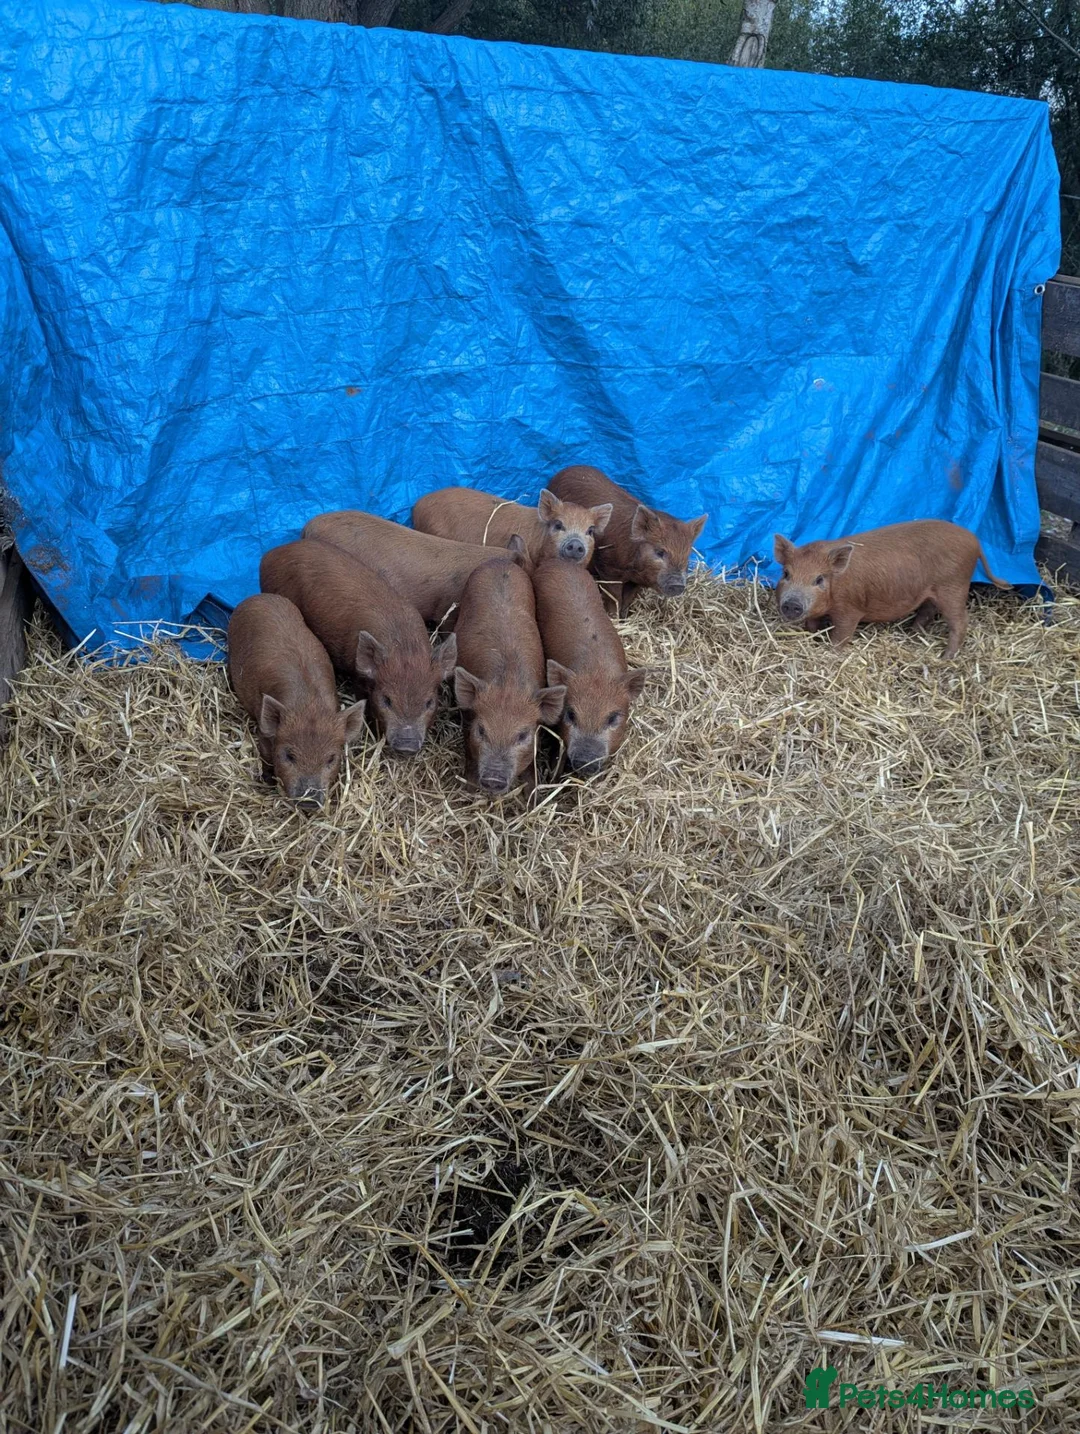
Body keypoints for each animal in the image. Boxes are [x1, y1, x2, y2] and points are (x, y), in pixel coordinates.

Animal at [227, 593, 366, 809]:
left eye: (331, 758)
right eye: (289, 755)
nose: (309, 801)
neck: (309, 705)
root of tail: (258, 597)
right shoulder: (264, 730)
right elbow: (266, 757)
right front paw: (268, 782)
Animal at [259, 538, 456, 755]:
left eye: (429, 702)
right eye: (387, 700)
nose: (407, 745)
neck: (404, 646)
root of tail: (271, 554)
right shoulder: (357, 674)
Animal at [452, 558, 567, 796]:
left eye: (522, 735)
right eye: (482, 730)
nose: (493, 779)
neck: (509, 683)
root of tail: (501, 561)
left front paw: (532, 799)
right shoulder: (467, 716)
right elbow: (469, 752)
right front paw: (468, 792)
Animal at [547, 465, 707, 616]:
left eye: (687, 555)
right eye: (659, 552)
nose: (678, 585)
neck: (633, 569)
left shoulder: (636, 581)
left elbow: (628, 599)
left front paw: (625, 617)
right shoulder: (608, 570)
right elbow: (614, 598)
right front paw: (614, 617)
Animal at [773, 520, 1012, 659]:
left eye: (819, 579)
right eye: (786, 574)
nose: (792, 604)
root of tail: (975, 541)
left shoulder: (849, 609)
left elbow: (841, 634)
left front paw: (831, 653)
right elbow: (811, 625)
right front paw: (811, 638)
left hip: (953, 586)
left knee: (960, 621)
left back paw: (944, 658)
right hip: (933, 591)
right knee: (927, 610)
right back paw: (913, 634)